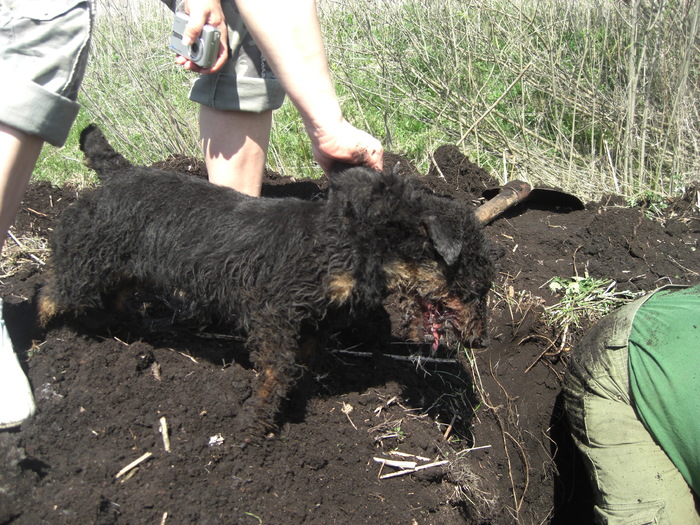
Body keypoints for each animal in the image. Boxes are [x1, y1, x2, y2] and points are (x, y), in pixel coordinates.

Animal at [39, 124, 492, 438]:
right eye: (473, 288)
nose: (481, 341)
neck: (356, 243)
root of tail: (117, 172)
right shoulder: (273, 310)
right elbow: (276, 370)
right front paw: (254, 425)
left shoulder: (312, 318)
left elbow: (301, 360)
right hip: (87, 256)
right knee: (53, 290)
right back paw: (43, 336)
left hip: (123, 265)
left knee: (112, 295)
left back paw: (123, 329)